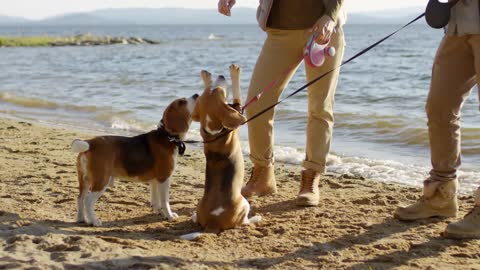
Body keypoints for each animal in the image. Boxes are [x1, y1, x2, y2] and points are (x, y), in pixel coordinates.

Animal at [71, 95, 197, 226]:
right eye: (182, 102)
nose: (196, 95)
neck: (167, 137)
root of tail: (90, 143)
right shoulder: (164, 178)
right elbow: (165, 201)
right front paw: (169, 215)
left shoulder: (155, 180)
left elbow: (156, 200)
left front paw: (159, 212)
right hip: (101, 180)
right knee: (88, 200)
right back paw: (94, 221)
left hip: (84, 180)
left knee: (80, 198)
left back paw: (81, 219)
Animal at [182, 64, 260, 239]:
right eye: (223, 92)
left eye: (213, 88)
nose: (221, 76)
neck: (213, 131)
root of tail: (213, 223)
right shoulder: (238, 109)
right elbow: (238, 99)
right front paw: (234, 72)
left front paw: (205, 77)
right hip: (244, 202)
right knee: (244, 222)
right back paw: (256, 218)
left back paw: (193, 216)